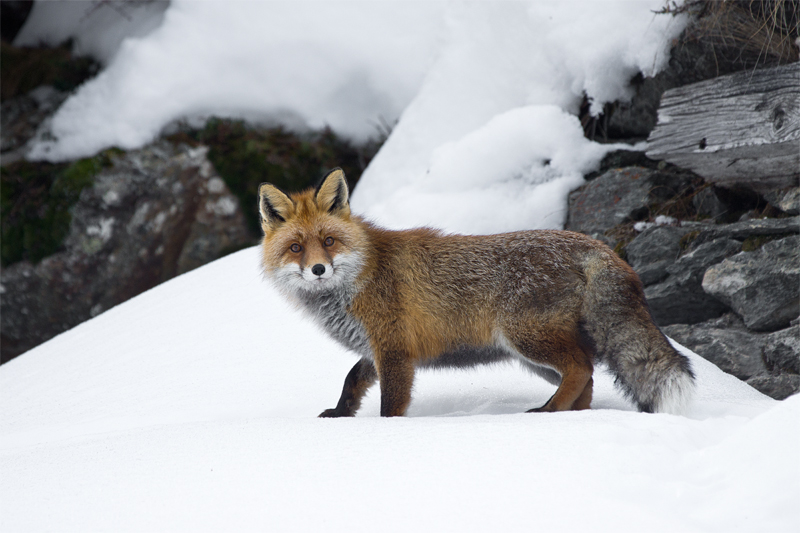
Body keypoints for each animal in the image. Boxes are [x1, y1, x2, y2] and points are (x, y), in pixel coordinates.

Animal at [260, 168, 692, 418]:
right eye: (296, 248)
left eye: (329, 241)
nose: (318, 269)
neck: (360, 277)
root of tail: (594, 244)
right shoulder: (377, 348)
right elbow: (352, 378)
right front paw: (340, 414)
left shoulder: (395, 350)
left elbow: (390, 405)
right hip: (535, 354)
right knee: (584, 380)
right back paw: (566, 415)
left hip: (525, 339)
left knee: (582, 369)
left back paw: (547, 411)